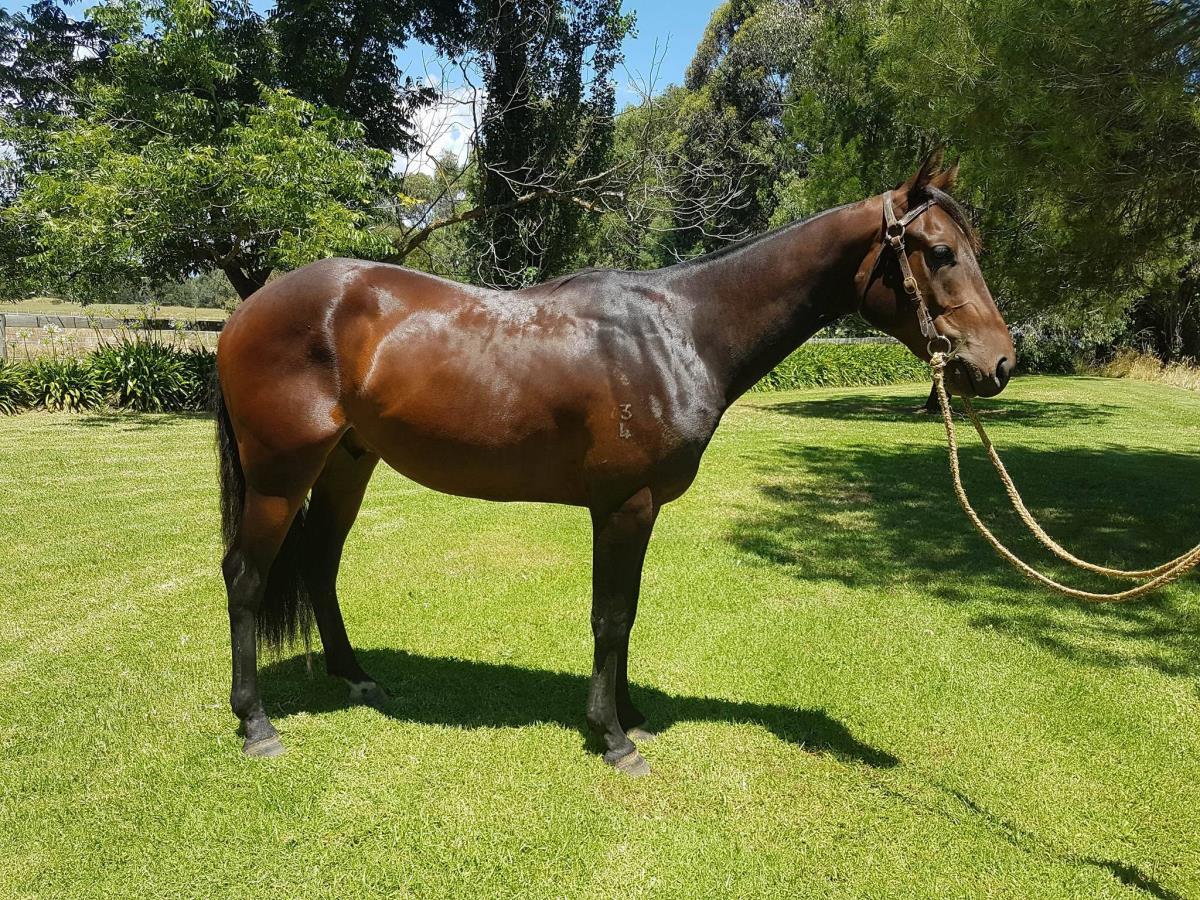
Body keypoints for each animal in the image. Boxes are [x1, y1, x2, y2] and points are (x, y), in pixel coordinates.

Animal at [214, 150, 1015, 775]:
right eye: (940, 252)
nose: (1000, 363)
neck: (681, 331)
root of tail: (246, 311)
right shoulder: (622, 504)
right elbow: (609, 616)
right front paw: (612, 737)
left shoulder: (641, 506)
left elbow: (627, 614)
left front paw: (630, 715)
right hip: (281, 474)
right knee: (246, 577)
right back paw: (256, 725)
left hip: (348, 463)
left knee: (319, 564)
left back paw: (356, 679)